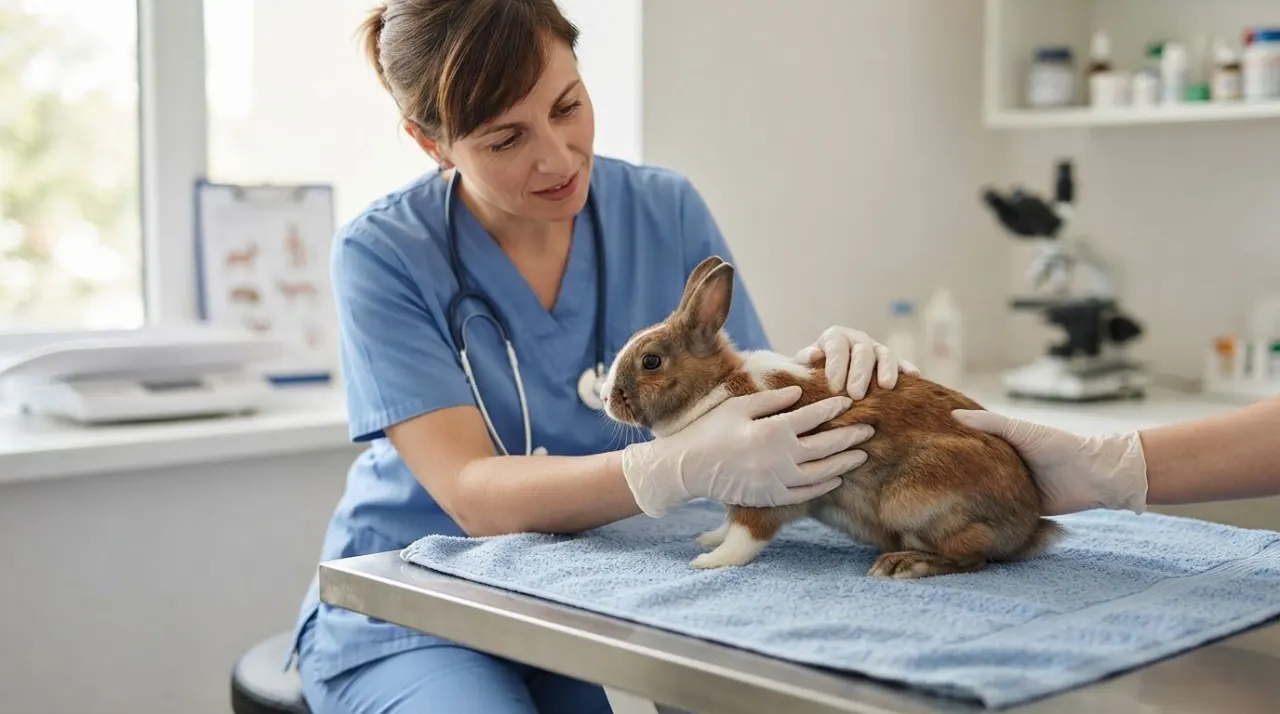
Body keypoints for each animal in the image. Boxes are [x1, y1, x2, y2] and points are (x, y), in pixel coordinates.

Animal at [599, 255, 1063, 579]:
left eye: (651, 361)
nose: (605, 396)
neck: (717, 388)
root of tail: (1030, 525)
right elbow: (728, 523)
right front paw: (708, 537)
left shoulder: (765, 497)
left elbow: (746, 536)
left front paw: (709, 561)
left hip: (912, 500)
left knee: (974, 556)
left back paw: (903, 564)